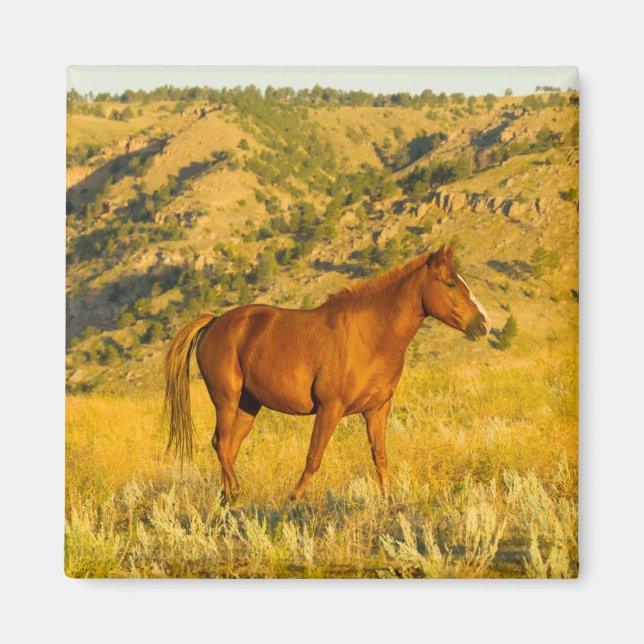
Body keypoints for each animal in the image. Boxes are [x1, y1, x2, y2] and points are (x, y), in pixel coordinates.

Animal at [163, 243, 491, 503]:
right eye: (450, 284)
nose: (483, 324)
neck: (370, 335)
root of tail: (215, 322)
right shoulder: (330, 409)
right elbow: (314, 457)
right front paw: (294, 498)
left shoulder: (377, 410)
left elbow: (380, 456)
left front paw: (388, 499)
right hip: (226, 400)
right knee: (220, 444)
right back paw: (235, 492)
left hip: (248, 405)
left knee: (229, 448)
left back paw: (227, 498)